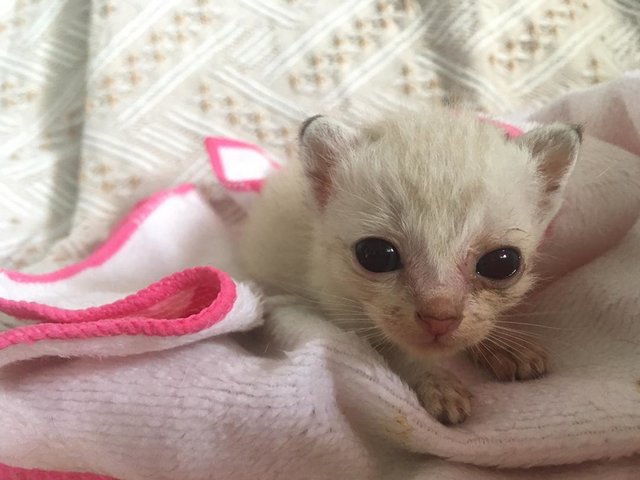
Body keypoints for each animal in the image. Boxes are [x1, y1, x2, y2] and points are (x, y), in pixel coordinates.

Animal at [239, 105, 580, 424]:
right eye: (376, 255)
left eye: (502, 262)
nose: (439, 319)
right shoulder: (338, 309)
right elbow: (394, 348)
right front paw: (435, 382)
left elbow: (479, 326)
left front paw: (507, 345)